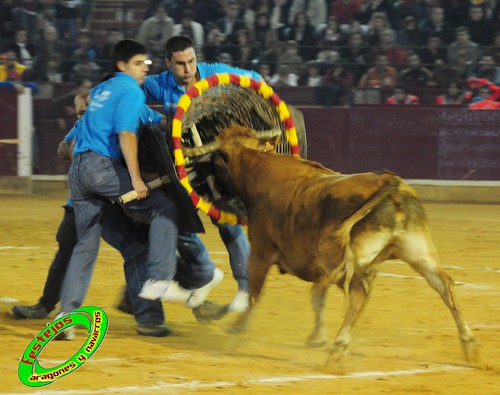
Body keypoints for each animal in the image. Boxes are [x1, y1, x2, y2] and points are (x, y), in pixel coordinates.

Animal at [211, 125, 480, 366]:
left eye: (217, 160)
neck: (258, 168)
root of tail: (390, 183)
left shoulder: (261, 251)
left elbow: (255, 292)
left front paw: (236, 329)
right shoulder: (320, 269)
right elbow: (318, 300)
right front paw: (317, 338)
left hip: (345, 261)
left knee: (358, 295)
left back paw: (338, 349)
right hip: (417, 252)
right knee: (444, 285)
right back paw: (470, 346)